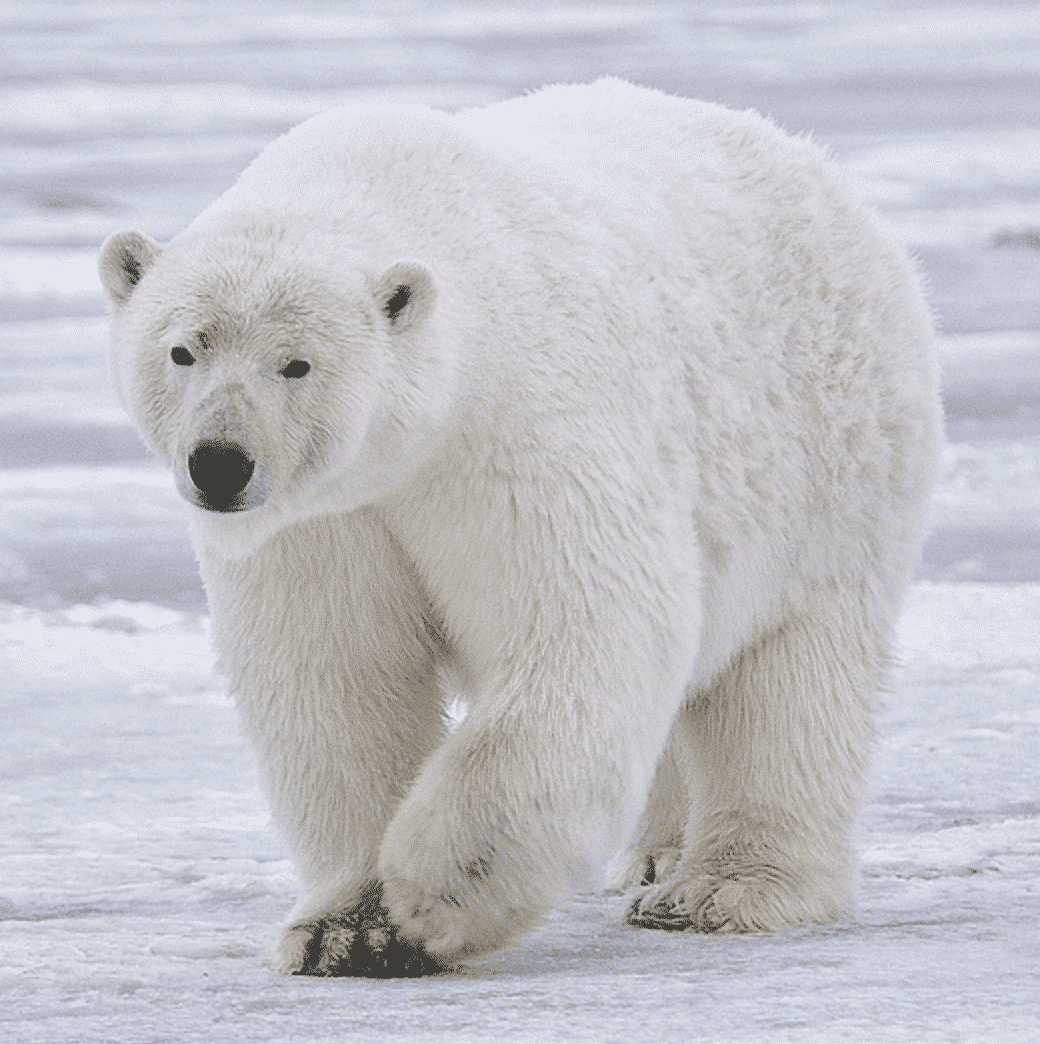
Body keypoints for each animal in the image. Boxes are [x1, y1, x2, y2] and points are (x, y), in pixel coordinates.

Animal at [99, 79, 942, 977]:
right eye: (182, 350)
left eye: (297, 363)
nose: (220, 463)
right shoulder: (322, 518)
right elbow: (337, 677)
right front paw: (346, 931)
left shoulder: (520, 430)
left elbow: (585, 627)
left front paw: (434, 893)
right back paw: (654, 856)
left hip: (829, 463)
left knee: (789, 680)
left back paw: (718, 890)